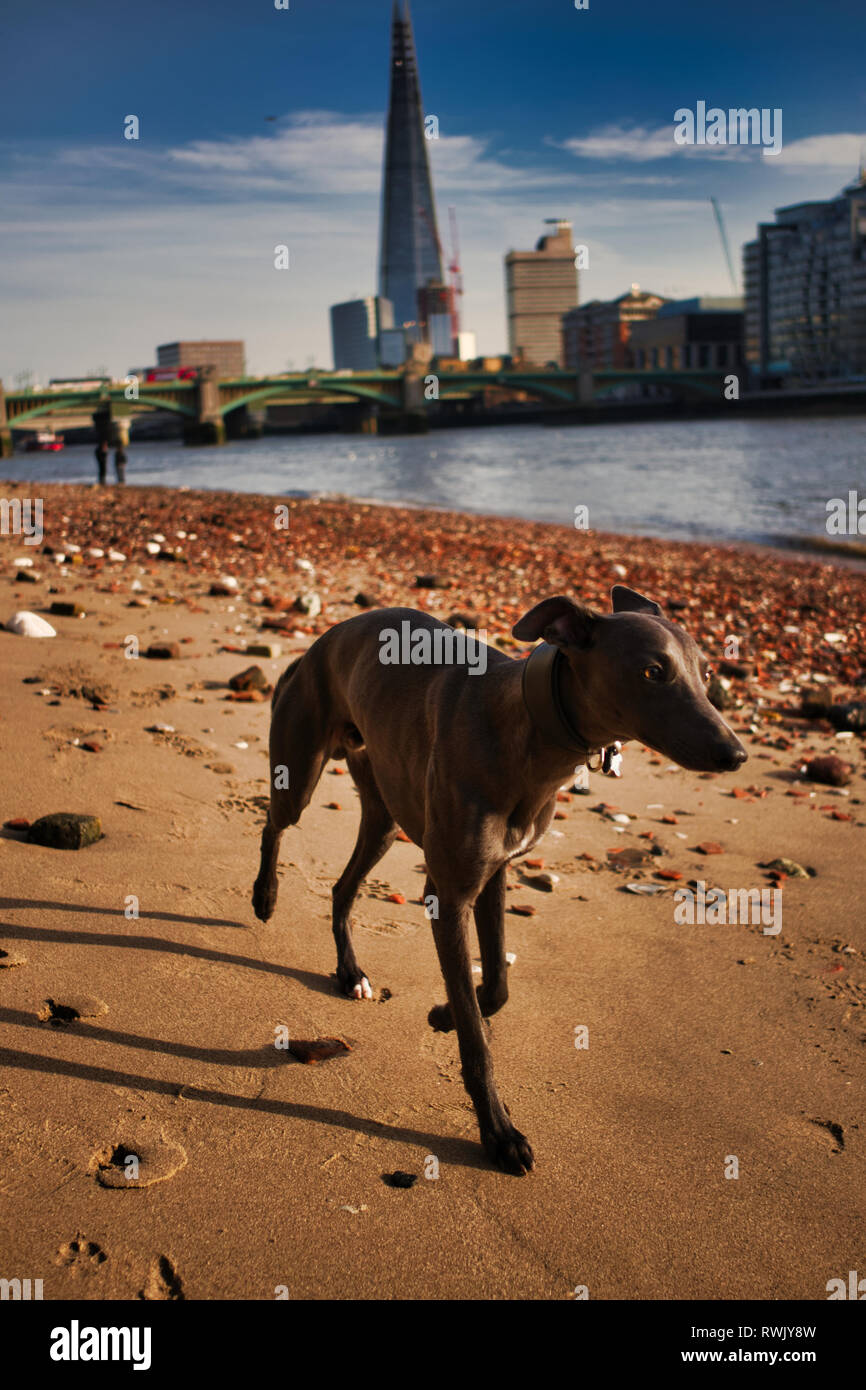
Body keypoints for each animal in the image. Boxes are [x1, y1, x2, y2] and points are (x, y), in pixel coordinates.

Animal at [250, 586, 745, 1173]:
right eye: (652, 671)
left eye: (706, 672)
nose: (735, 754)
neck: (528, 729)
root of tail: (316, 647)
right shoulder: (449, 893)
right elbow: (477, 1038)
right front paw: (499, 1133)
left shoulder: (494, 875)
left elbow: (496, 988)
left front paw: (443, 1014)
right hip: (300, 772)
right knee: (273, 824)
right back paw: (265, 897)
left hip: (384, 815)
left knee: (342, 888)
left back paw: (351, 974)